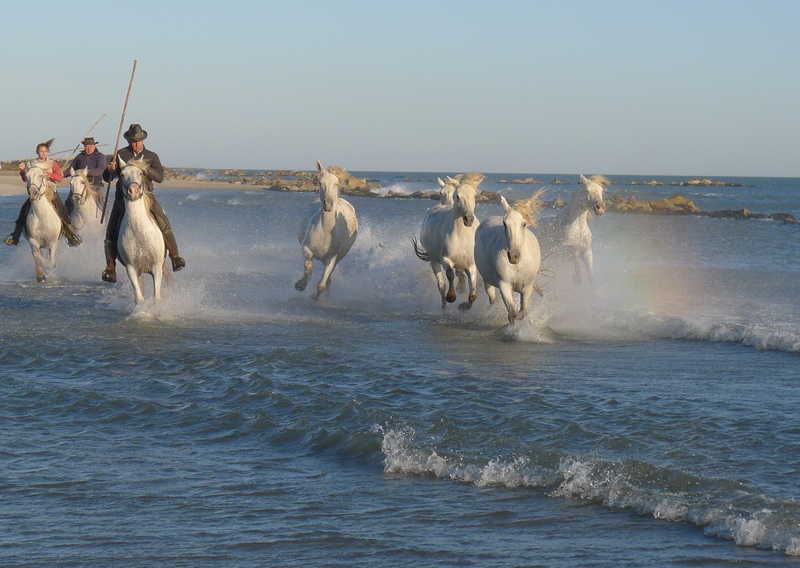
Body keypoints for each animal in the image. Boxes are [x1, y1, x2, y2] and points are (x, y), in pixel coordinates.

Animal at [115, 155, 167, 306]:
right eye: (122, 174)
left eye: (140, 173)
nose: (133, 191)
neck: (139, 233)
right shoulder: (131, 269)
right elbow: (139, 298)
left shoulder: (156, 267)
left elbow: (157, 298)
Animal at [296, 161, 358, 300]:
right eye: (320, 183)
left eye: (336, 183)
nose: (328, 204)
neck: (325, 231)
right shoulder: (306, 247)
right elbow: (308, 265)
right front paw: (301, 285)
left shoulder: (332, 257)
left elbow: (322, 284)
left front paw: (315, 296)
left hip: (340, 257)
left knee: (329, 278)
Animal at [416, 178, 478, 310]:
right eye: (458, 196)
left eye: (474, 196)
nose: (469, 219)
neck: (462, 235)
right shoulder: (445, 259)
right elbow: (450, 274)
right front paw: (451, 296)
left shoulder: (471, 264)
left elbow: (472, 293)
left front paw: (464, 306)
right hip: (434, 260)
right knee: (441, 285)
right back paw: (444, 306)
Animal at [476, 194, 544, 324]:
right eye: (504, 223)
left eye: (524, 224)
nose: (513, 256)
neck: (518, 265)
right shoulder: (504, 284)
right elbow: (512, 314)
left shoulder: (527, 287)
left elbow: (523, 311)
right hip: (487, 280)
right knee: (492, 297)